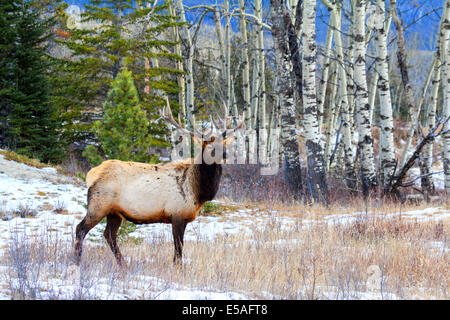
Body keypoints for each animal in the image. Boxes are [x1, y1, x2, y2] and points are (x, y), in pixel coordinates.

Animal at [74, 97, 243, 264]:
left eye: (223, 143)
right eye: (209, 146)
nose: (226, 154)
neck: (198, 191)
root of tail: (91, 174)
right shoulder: (177, 214)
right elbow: (178, 250)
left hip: (114, 212)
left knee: (109, 234)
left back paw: (122, 263)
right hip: (98, 204)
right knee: (80, 229)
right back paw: (77, 260)